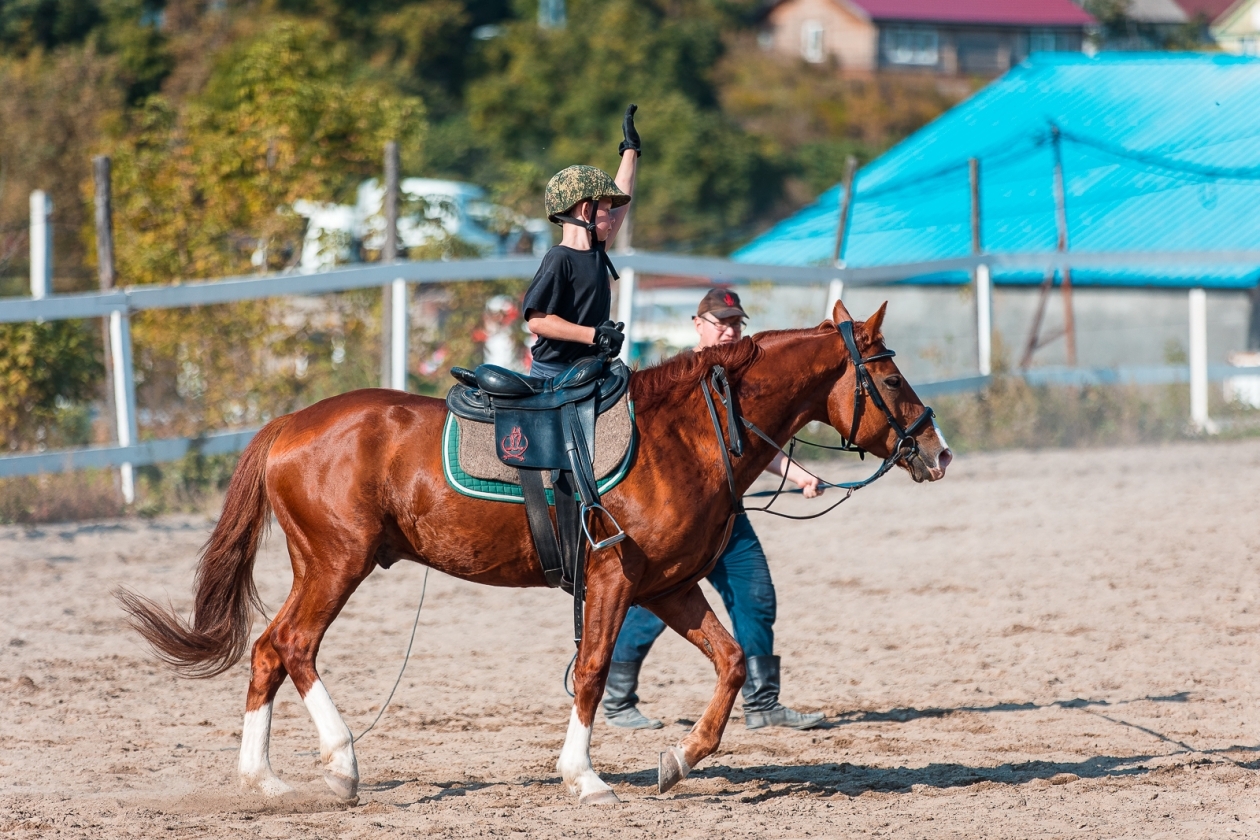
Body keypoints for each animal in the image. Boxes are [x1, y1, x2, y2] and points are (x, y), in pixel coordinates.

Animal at [118, 298, 947, 805]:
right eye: (891, 374)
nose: (937, 451)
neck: (685, 436)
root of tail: (290, 423)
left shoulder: (667, 586)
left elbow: (731, 659)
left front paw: (679, 759)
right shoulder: (614, 576)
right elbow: (592, 671)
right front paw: (584, 776)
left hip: (323, 566)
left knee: (266, 649)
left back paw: (263, 780)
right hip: (336, 563)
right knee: (292, 645)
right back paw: (343, 764)